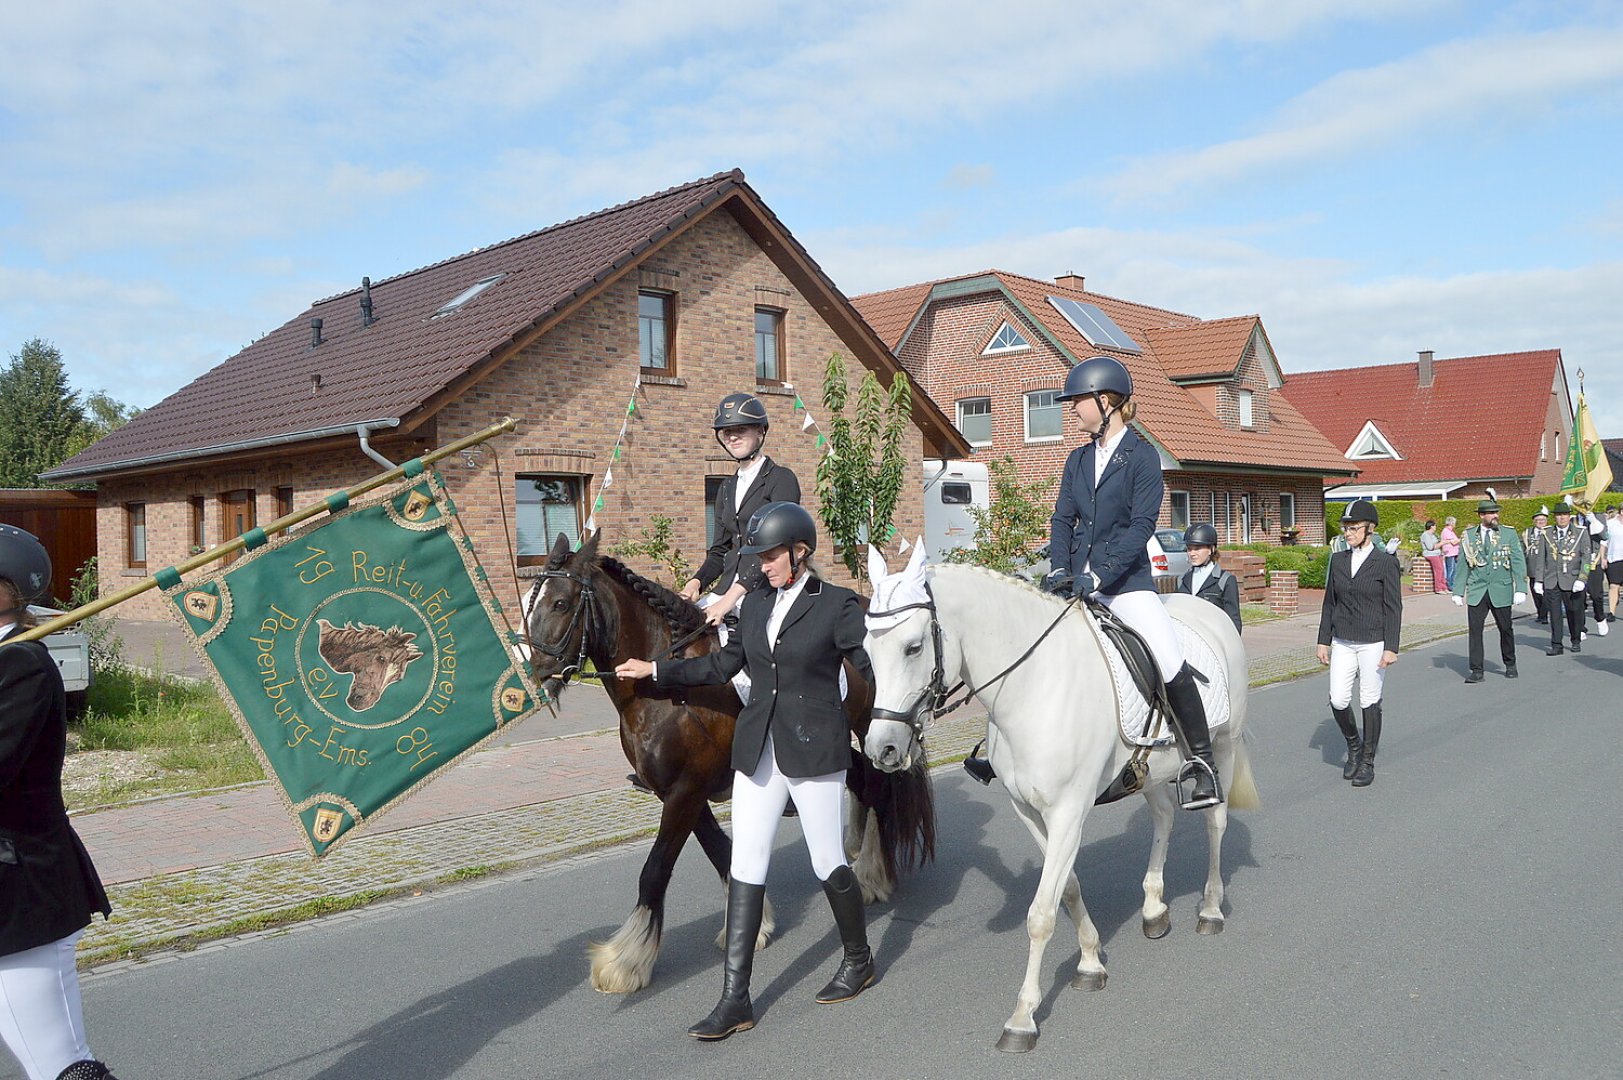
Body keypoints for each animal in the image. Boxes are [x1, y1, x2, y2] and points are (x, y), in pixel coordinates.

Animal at [529, 532, 941, 993]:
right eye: (530, 600)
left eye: (560, 603)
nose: (536, 673)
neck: (666, 690)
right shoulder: (681, 792)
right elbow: (722, 854)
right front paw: (753, 926)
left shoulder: (686, 791)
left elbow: (655, 870)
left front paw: (626, 961)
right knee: (864, 780)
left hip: (867, 729)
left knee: (874, 783)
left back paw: (871, 874)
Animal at [863, 542, 1252, 1045]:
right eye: (867, 650)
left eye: (912, 647)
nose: (882, 749)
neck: (1032, 687)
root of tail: (1207, 609)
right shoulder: (1028, 811)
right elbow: (1065, 888)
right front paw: (1089, 961)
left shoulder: (1068, 812)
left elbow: (1040, 914)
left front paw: (1023, 1017)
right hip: (1148, 770)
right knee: (1164, 816)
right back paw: (1153, 909)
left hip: (1224, 745)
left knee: (1214, 821)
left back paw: (1209, 909)